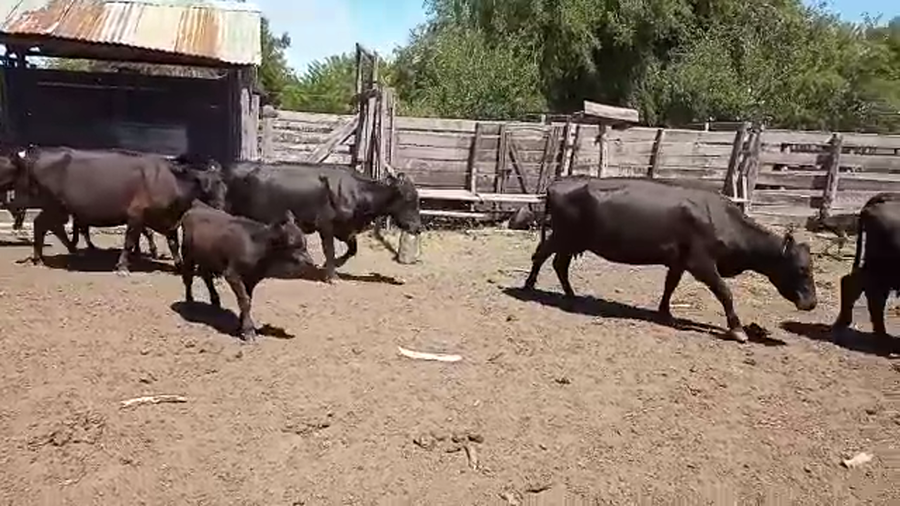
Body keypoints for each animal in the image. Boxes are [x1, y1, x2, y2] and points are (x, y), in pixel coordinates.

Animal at [11, 147, 227, 273]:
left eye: (224, 185)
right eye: (211, 184)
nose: (221, 207)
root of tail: (38, 156)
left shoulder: (167, 221)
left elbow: (173, 243)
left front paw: (179, 265)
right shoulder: (136, 216)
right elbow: (130, 241)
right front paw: (123, 266)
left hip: (57, 208)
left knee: (49, 226)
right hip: (54, 205)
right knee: (43, 224)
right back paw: (43, 257)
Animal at [180, 201, 316, 342]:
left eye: (305, 244)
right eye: (293, 245)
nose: (311, 262)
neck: (258, 248)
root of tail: (197, 205)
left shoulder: (251, 278)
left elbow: (248, 299)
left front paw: (242, 323)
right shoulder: (232, 275)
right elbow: (244, 300)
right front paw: (248, 330)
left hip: (206, 258)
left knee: (206, 275)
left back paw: (215, 300)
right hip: (187, 254)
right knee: (188, 277)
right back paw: (189, 301)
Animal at [223, 161, 422, 282]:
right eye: (409, 198)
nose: (418, 227)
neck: (355, 192)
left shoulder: (344, 229)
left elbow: (352, 249)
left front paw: (332, 266)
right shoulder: (326, 225)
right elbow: (330, 250)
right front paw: (332, 275)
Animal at [523, 176, 818, 343]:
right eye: (802, 269)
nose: (812, 303)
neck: (721, 218)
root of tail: (557, 184)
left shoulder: (679, 262)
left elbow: (670, 286)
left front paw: (665, 312)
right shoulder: (701, 263)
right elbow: (725, 292)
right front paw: (737, 329)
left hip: (571, 241)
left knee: (557, 263)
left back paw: (570, 294)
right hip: (563, 236)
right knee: (542, 255)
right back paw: (529, 287)